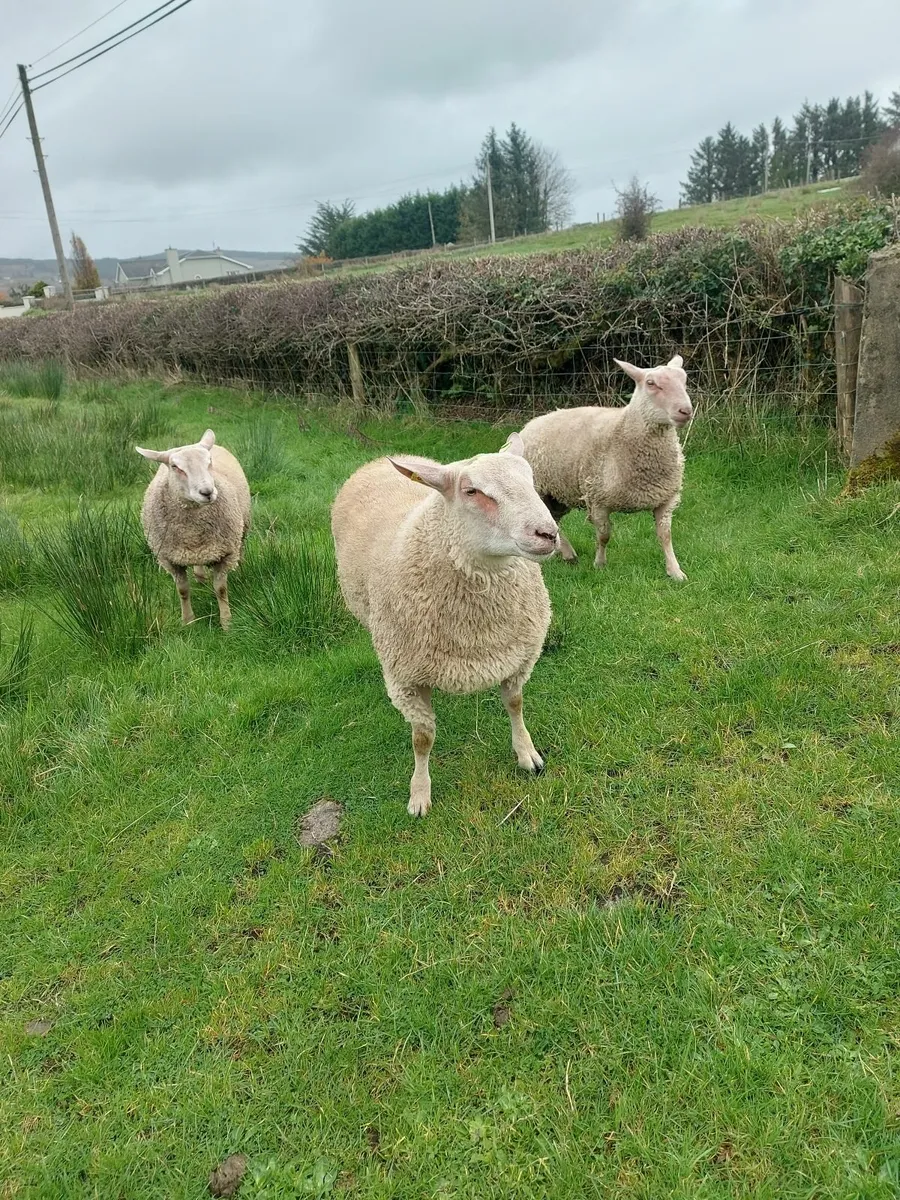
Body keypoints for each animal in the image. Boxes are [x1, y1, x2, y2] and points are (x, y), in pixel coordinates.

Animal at [136, 429, 251, 629]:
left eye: (209, 461)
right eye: (175, 466)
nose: (207, 492)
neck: (192, 532)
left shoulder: (226, 553)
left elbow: (221, 589)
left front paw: (226, 622)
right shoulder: (170, 559)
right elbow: (182, 590)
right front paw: (188, 621)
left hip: (241, 529)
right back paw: (200, 576)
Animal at [330, 434, 559, 817]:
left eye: (531, 481)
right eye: (472, 491)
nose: (548, 533)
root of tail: (378, 460)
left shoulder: (518, 657)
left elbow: (515, 705)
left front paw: (527, 754)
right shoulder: (406, 679)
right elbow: (422, 738)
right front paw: (419, 793)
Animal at [518, 356, 693, 580]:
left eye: (684, 381)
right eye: (651, 383)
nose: (685, 411)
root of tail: (532, 422)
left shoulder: (666, 498)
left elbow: (666, 536)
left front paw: (675, 571)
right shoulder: (598, 499)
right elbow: (604, 535)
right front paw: (599, 564)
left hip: (557, 494)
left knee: (553, 520)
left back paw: (566, 553)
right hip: (539, 489)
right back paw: (567, 554)